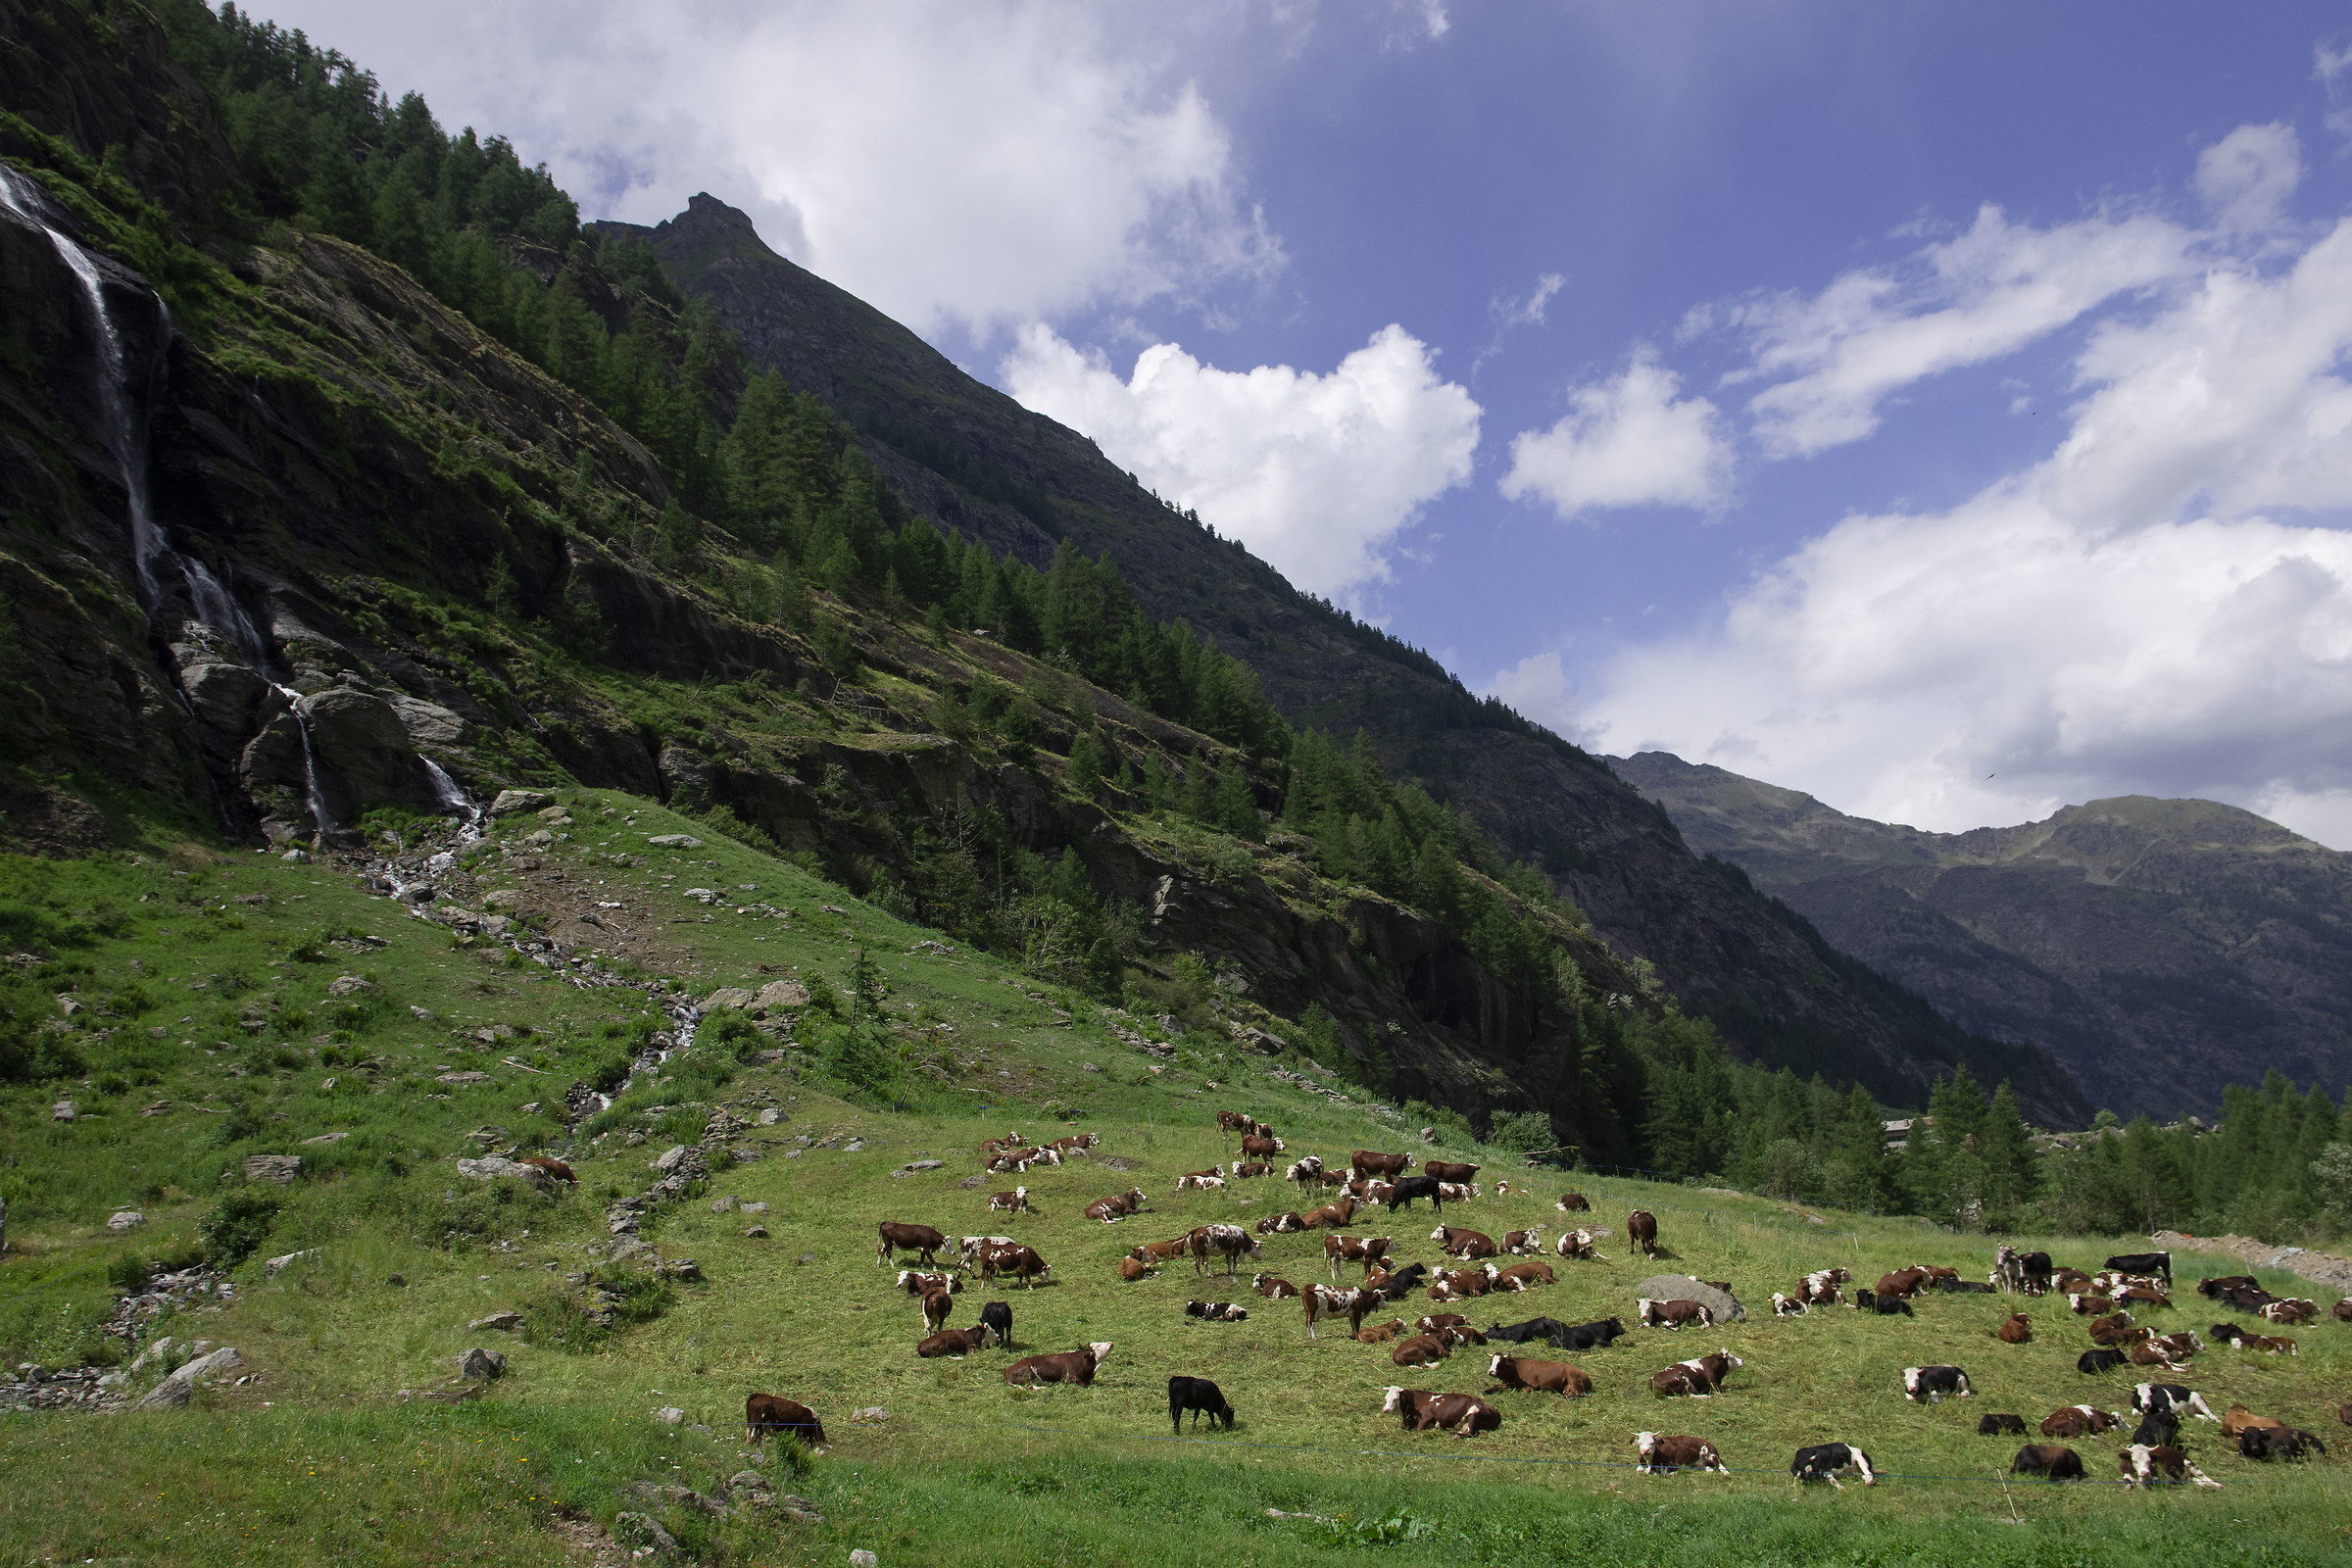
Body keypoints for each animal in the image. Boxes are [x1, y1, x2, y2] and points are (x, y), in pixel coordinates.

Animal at [1373, 1392, 1505, 1439]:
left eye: (1396, 1398)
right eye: (1386, 1398)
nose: (1385, 1409)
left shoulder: (1427, 1416)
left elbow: (1418, 1430)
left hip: (1473, 1412)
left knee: (1472, 1432)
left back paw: (1456, 1435)